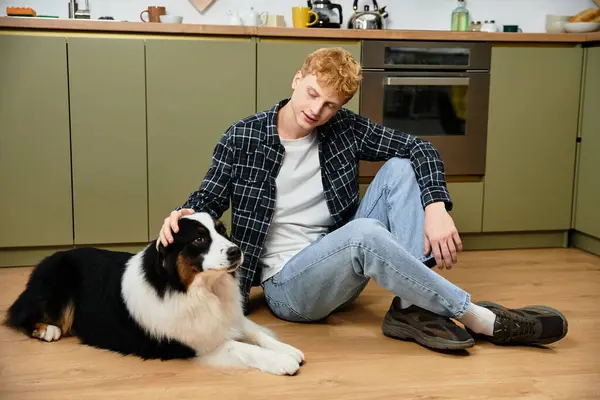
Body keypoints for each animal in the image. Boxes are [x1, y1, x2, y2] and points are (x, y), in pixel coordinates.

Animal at [3, 212, 304, 376]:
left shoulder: (227, 318)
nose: (236, 251)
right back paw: (47, 329)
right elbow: (240, 347)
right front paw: (282, 362)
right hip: (57, 288)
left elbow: (255, 333)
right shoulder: (190, 344)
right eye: (198, 238)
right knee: (18, 315)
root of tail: (46, 259)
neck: (199, 289)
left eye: (222, 231)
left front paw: (287, 349)